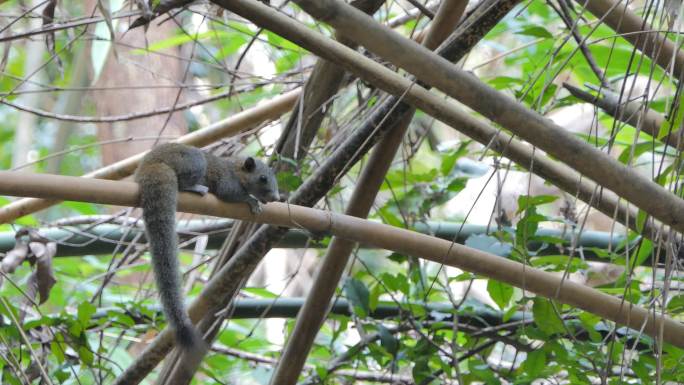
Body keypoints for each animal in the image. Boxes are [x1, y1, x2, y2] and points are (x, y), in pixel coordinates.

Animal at [134, 144, 278, 364]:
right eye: (262, 178)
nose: (277, 198)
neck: (236, 169)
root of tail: (150, 163)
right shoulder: (227, 183)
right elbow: (232, 194)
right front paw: (252, 201)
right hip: (194, 162)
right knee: (183, 182)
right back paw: (196, 187)